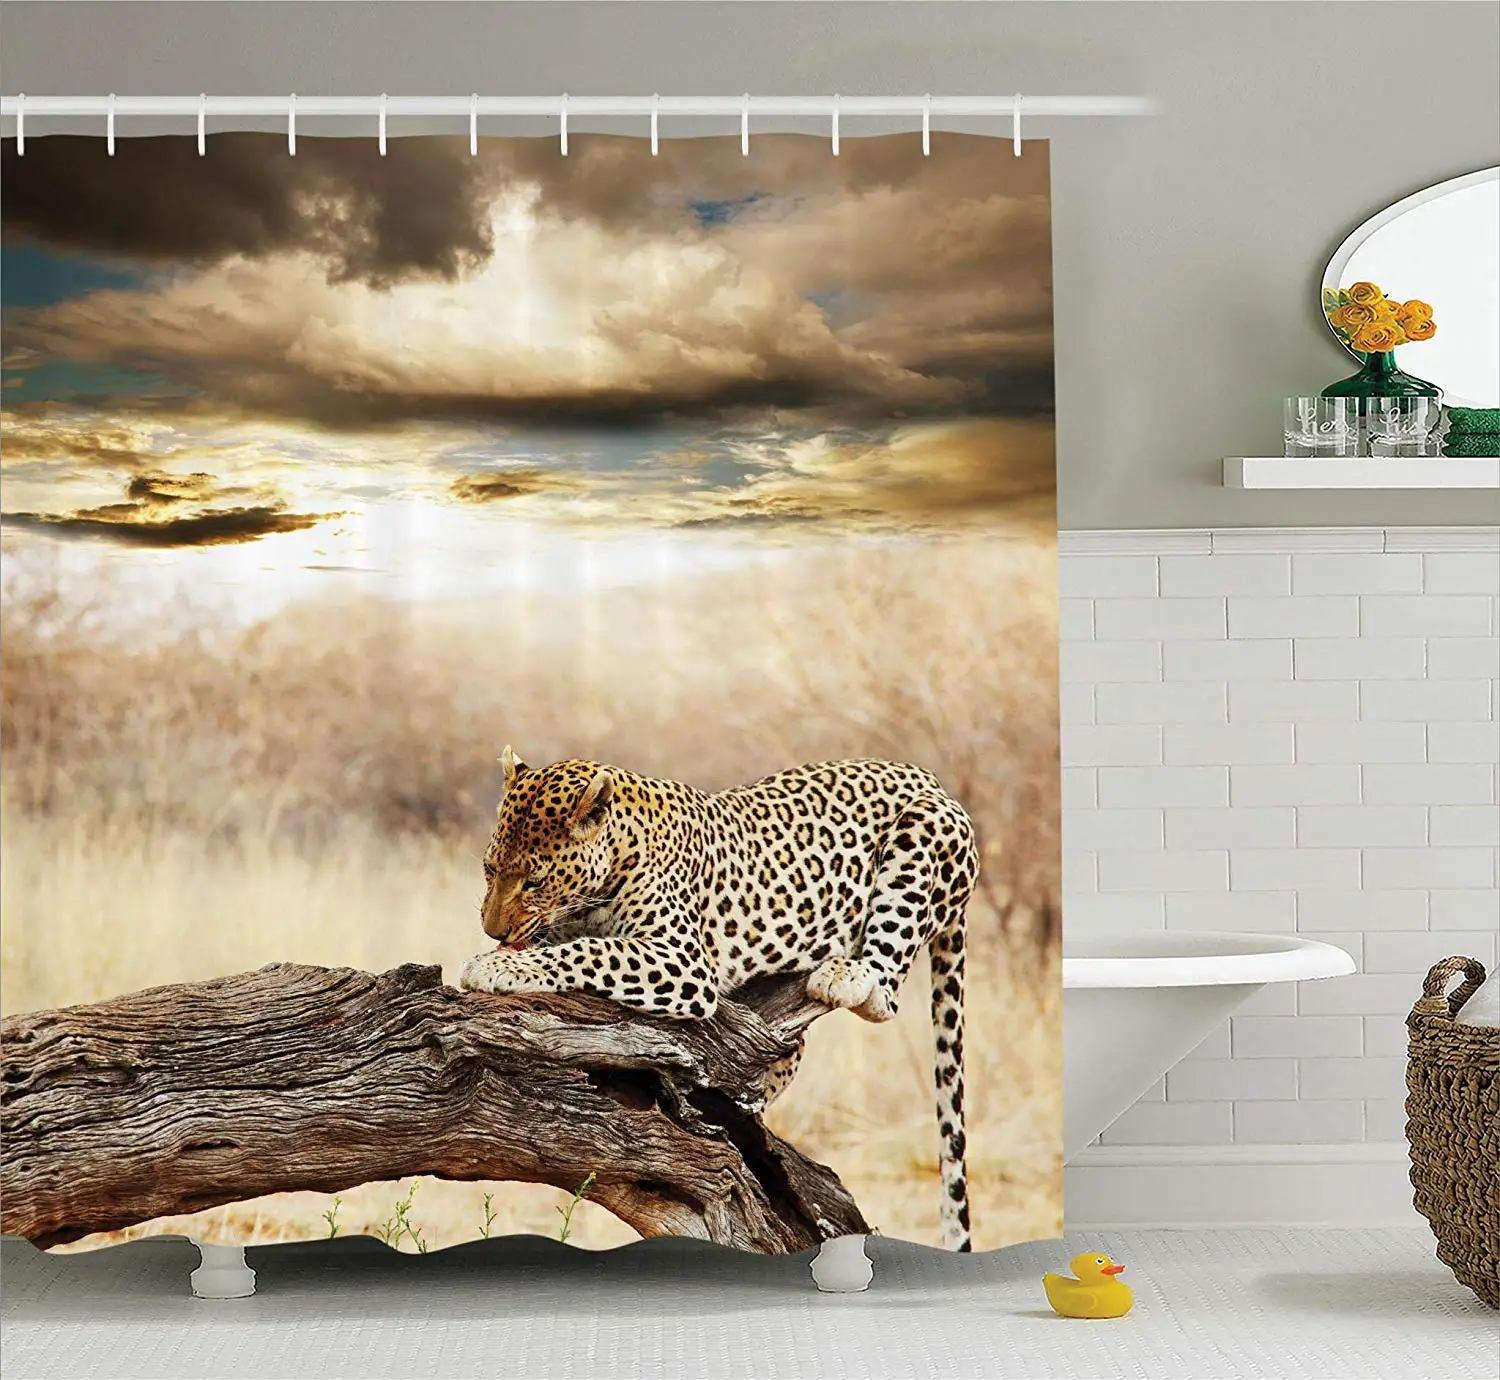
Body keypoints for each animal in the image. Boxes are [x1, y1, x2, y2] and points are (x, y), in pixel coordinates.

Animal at [458, 747, 981, 1251]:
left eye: (534, 882)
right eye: (489, 869)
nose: (493, 930)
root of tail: (928, 778)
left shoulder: (681, 959)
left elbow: (591, 951)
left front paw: (495, 967)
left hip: (923, 834)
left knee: (885, 992)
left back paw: (845, 975)